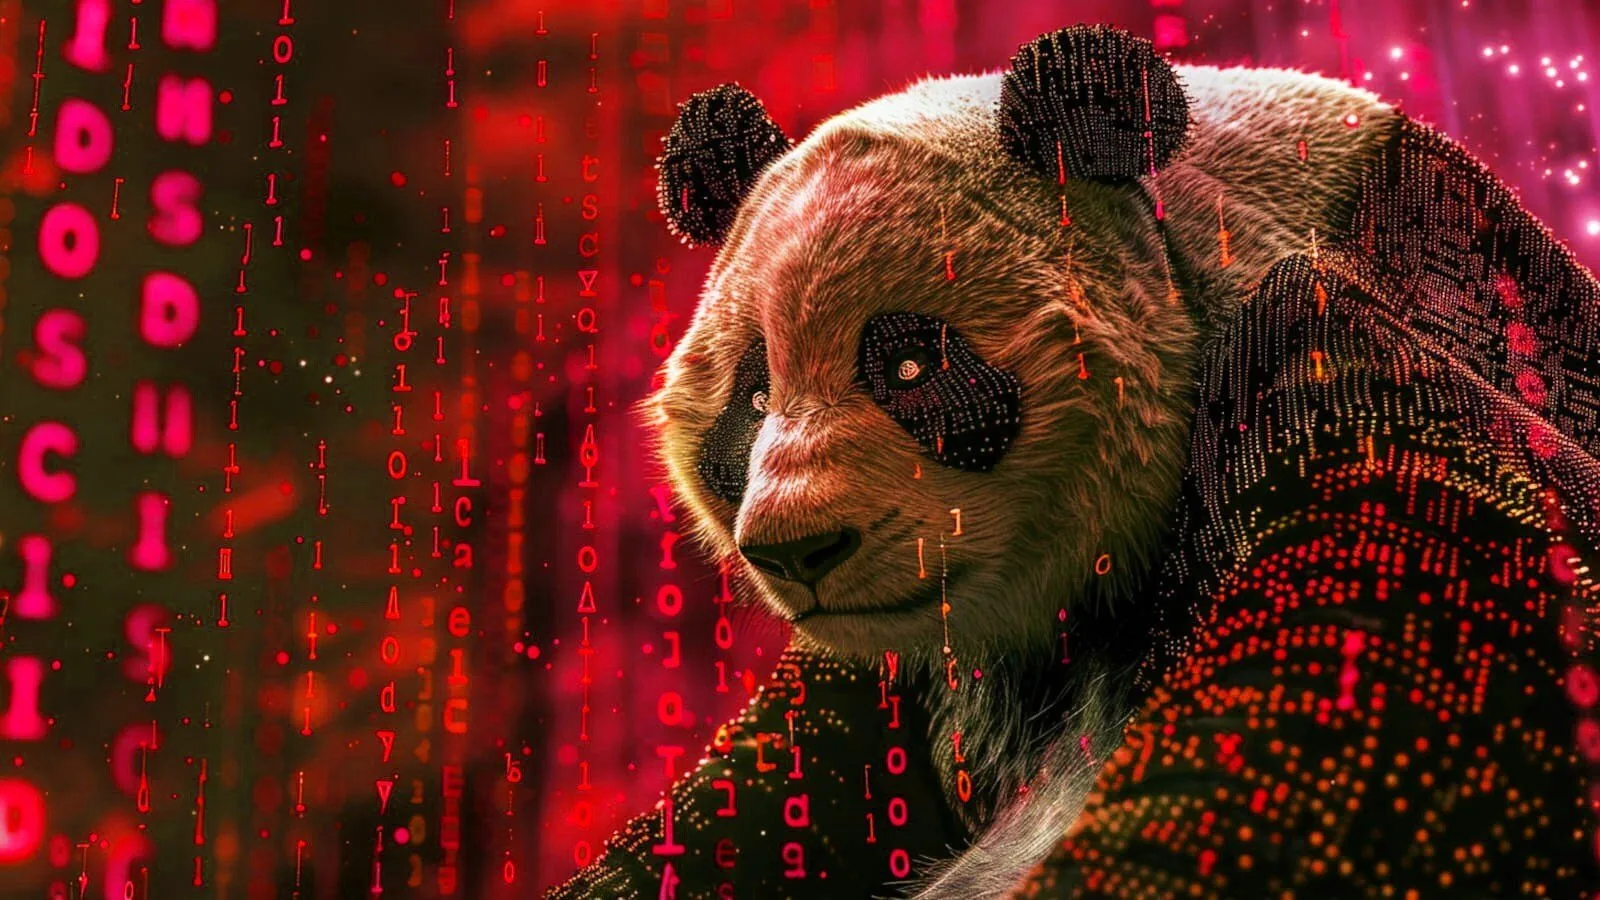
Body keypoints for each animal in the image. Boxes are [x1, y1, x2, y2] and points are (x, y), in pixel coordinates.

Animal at [551, 25, 1600, 900]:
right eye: (754, 400)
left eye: (910, 364)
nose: (798, 551)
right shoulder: (897, 674)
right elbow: (755, 808)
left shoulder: (1346, 367)